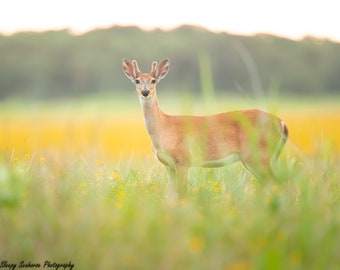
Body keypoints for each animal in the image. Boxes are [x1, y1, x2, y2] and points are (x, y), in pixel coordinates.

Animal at [121, 58, 286, 199]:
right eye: (136, 81)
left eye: (153, 80)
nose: (145, 92)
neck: (164, 128)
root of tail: (281, 122)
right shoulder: (169, 165)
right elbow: (173, 196)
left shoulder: (183, 160)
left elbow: (182, 194)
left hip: (258, 154)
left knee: (278, 183)